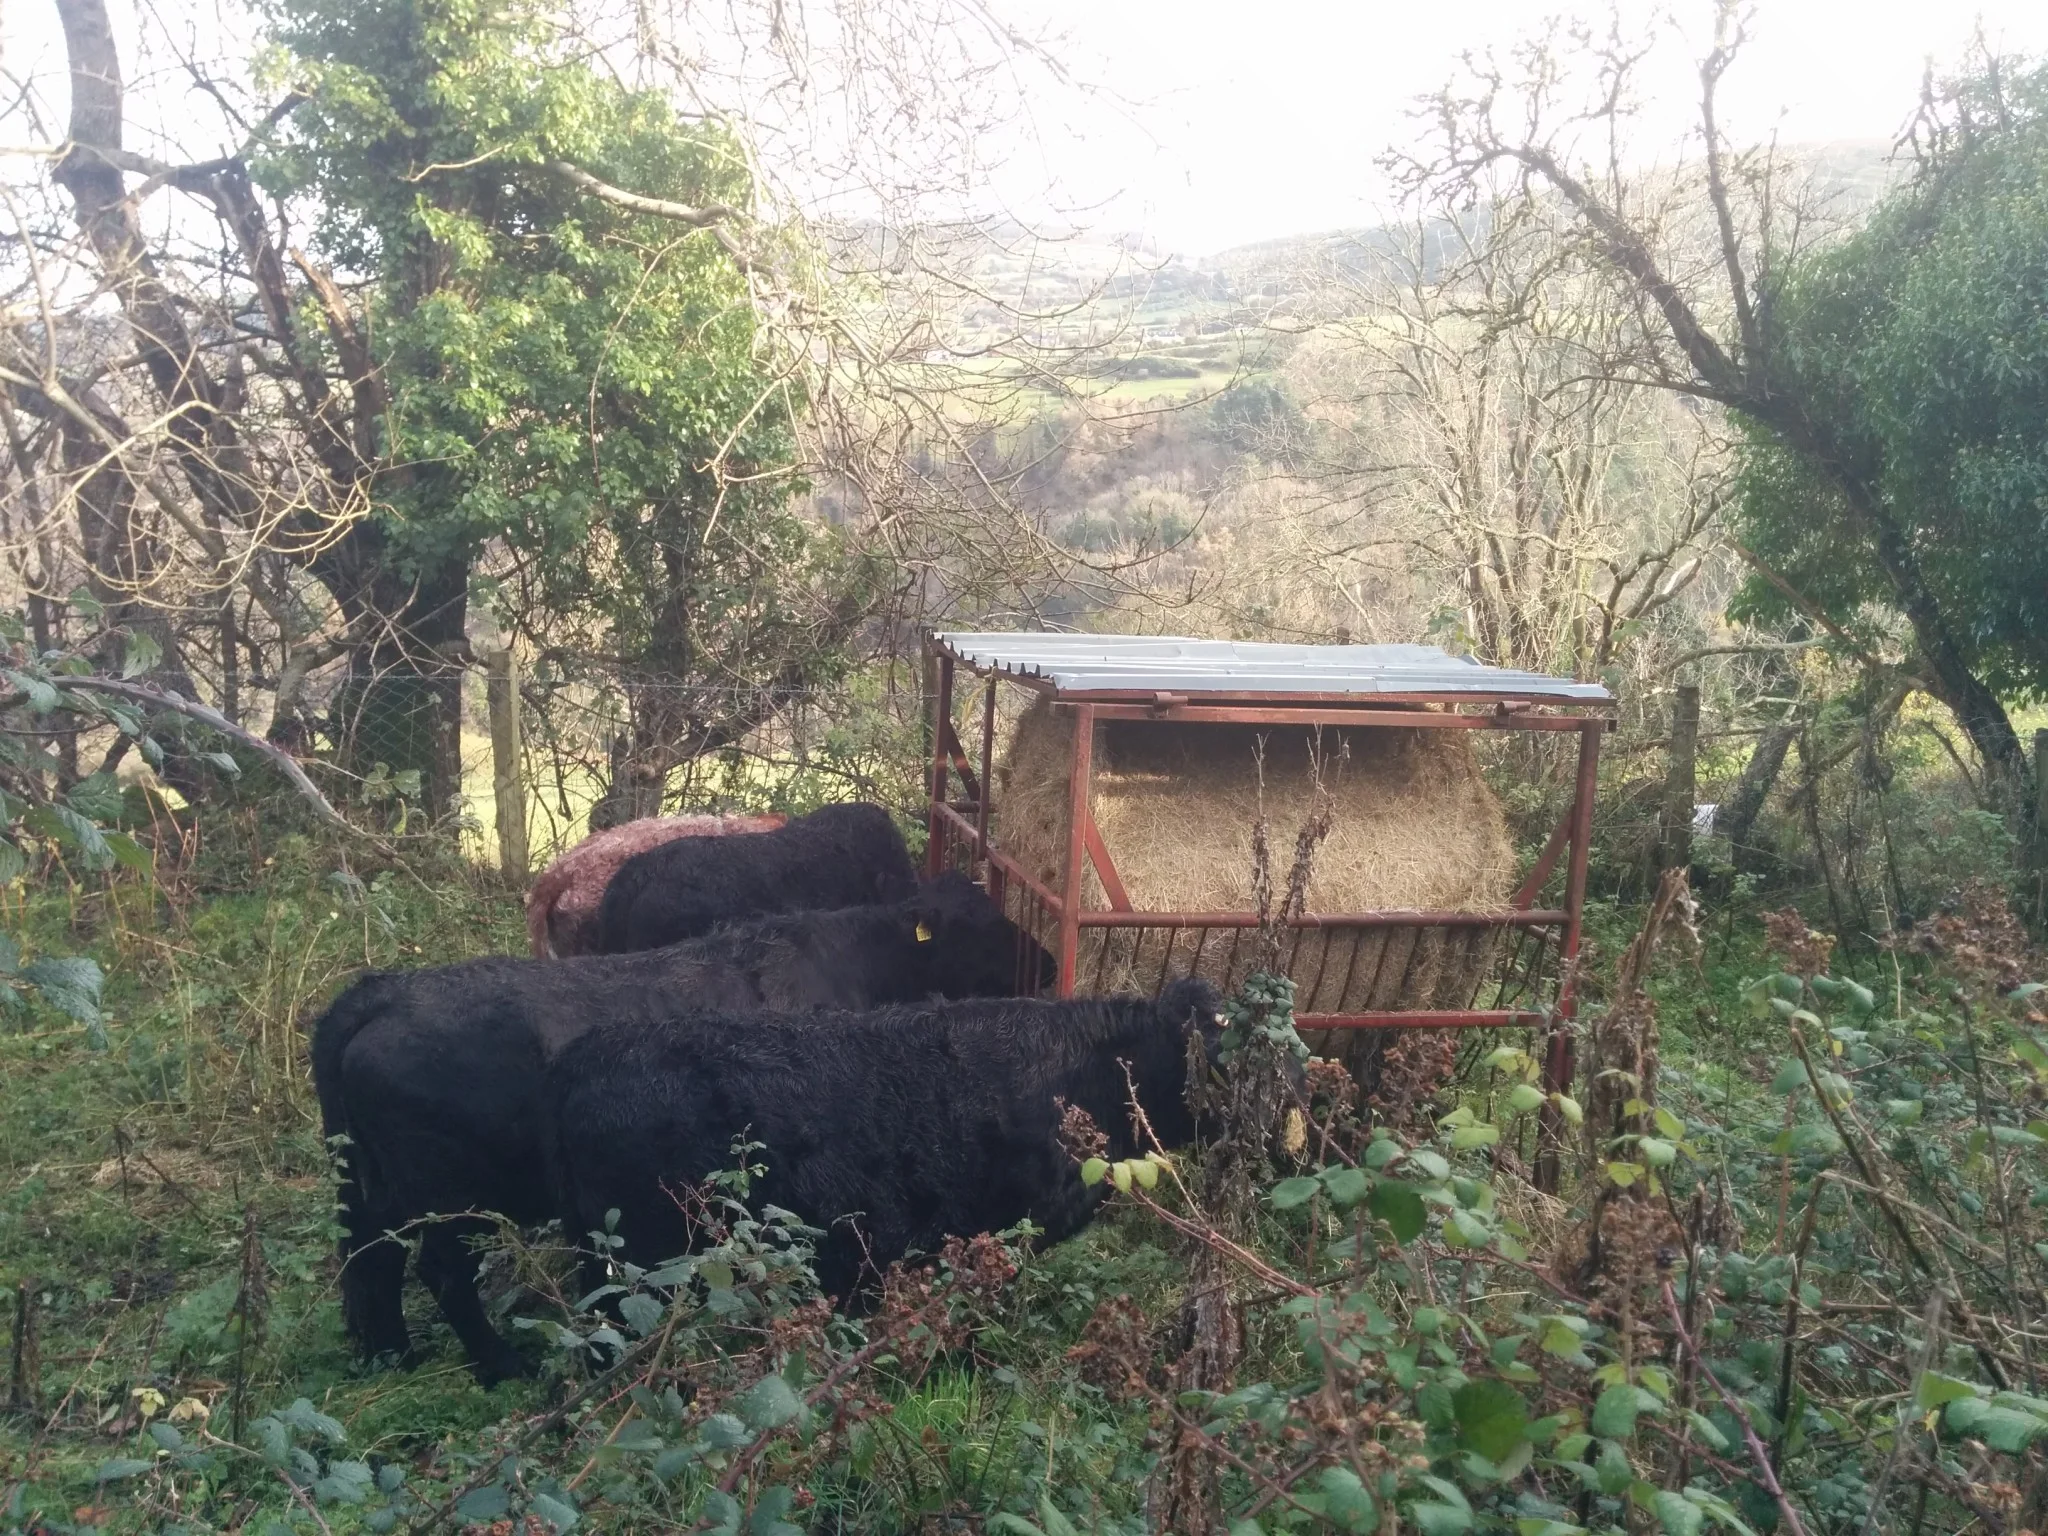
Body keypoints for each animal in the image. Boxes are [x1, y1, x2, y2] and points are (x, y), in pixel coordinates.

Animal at [311, 873, 1050, 1383]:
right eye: (982, 925)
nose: (1040, 960)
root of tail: (382, 992)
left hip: (370, 1186)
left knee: (370, 1261)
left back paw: (391, 1355)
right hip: (445, 1200)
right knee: (441, 1274)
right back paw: (500, 1367)